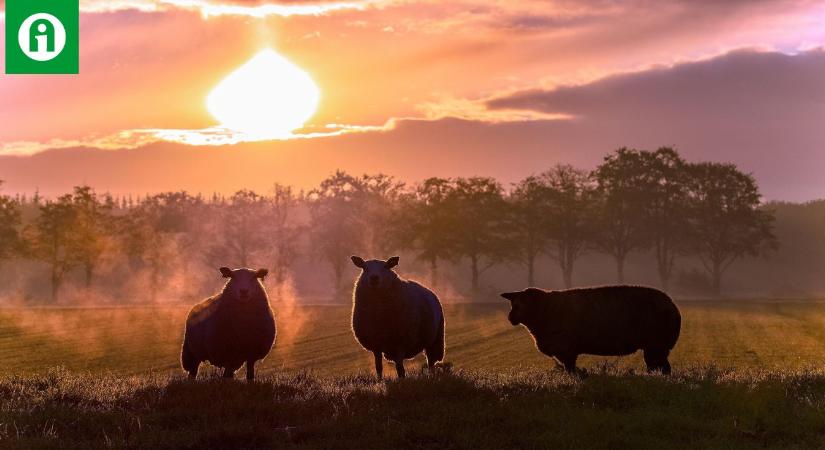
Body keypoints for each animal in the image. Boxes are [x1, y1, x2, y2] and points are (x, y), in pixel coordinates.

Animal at [502, 286, 684, 374]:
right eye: (513, 303)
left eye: (520, 305)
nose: (510, 318)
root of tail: (674, 308)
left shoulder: (566, 350)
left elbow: (570, 369)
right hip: (655, 347)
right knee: (659, 367)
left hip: (656, 345)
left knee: (662, 368)